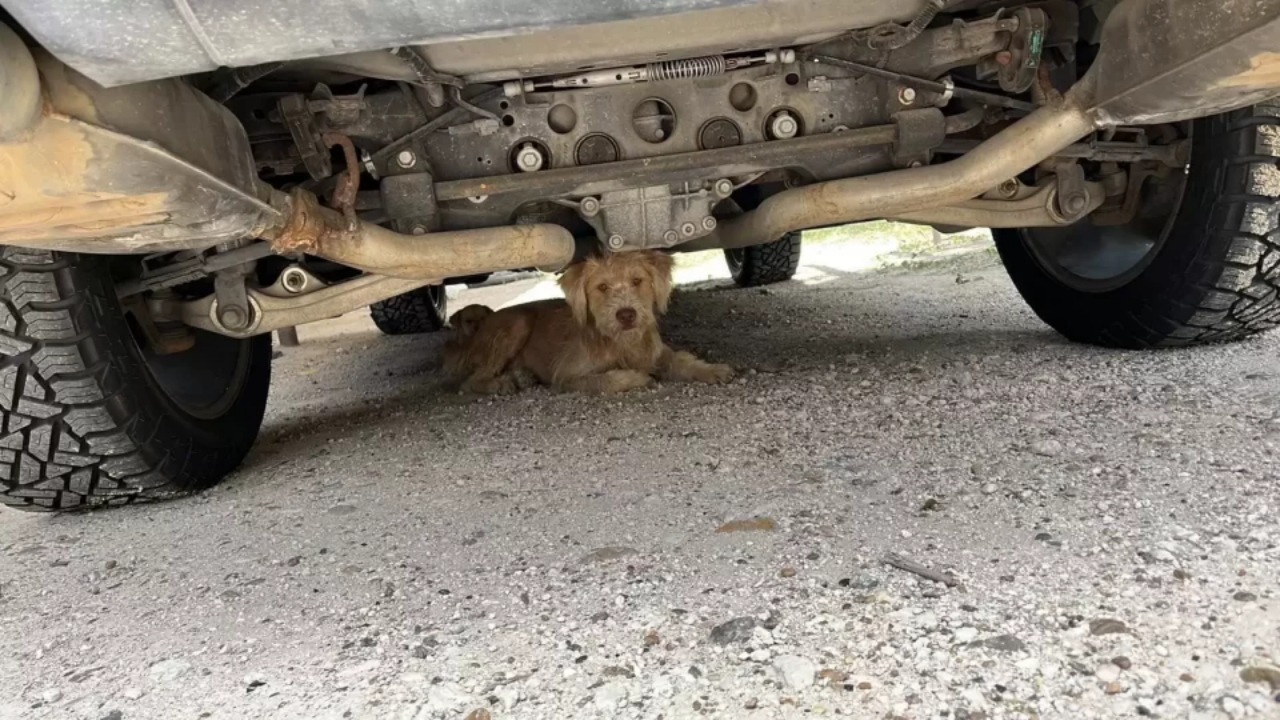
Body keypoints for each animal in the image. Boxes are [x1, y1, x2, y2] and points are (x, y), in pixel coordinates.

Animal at [445, 248, 737, 392]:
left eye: (637, 281)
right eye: (602, 287)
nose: (626, 314)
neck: (621, 343)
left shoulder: (657, 353)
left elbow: (682, 360)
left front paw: (712, 370)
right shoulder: (566, 375)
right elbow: (605, 380)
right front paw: (635, 377)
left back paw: (521, 376)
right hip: (517, 324)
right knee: (469, 383)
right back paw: (500, 383)